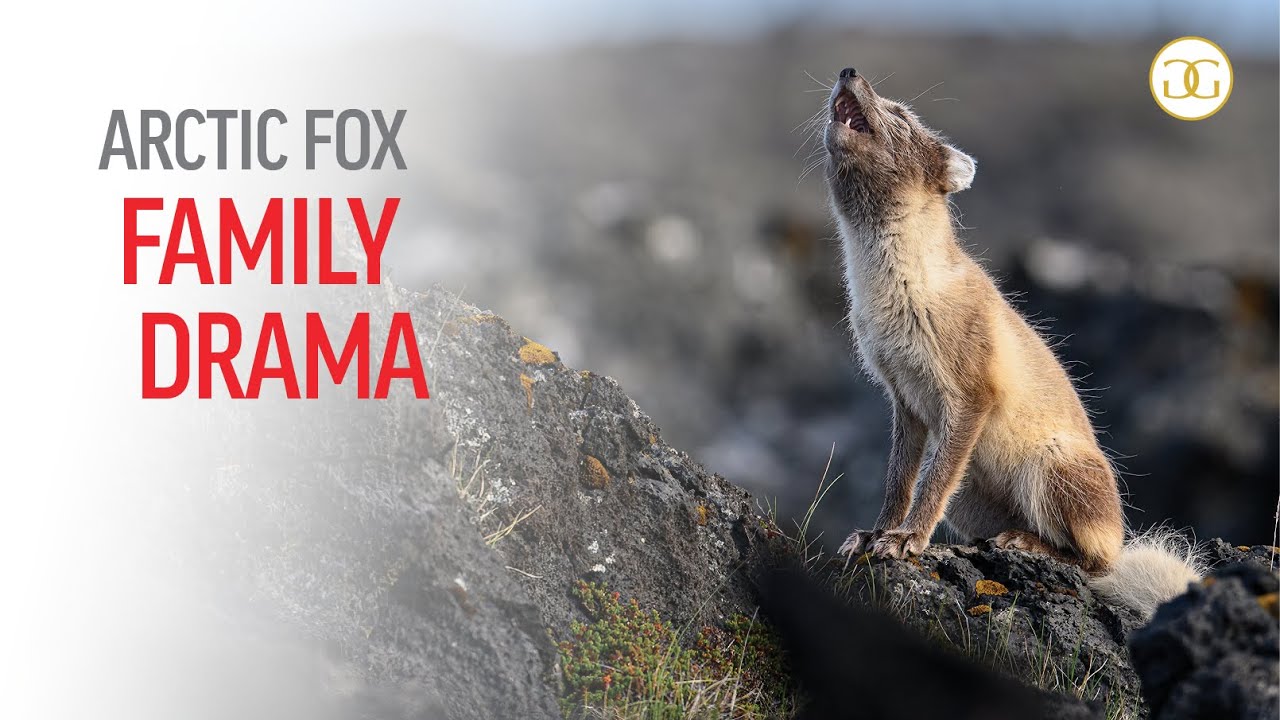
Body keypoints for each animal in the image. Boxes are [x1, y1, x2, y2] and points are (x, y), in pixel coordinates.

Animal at [822, 66, 1200, 617]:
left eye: (902, 115)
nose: (849, 71)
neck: (896, 290)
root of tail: (1119, 535)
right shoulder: (903, 397)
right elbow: (899, 482)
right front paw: (875, 535)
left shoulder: (971, 395)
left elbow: (930, 484)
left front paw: (907, 539)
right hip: (971, 497)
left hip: (1050, 468)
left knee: (1093, 563)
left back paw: (1027, 544)